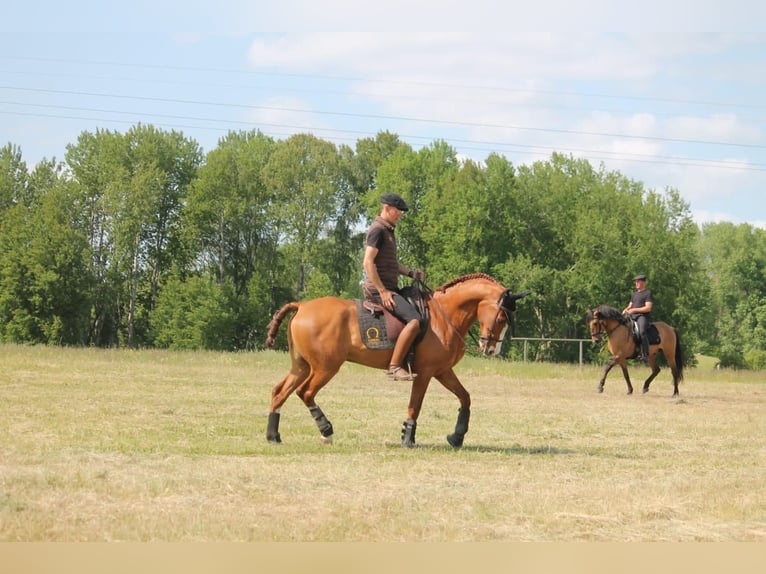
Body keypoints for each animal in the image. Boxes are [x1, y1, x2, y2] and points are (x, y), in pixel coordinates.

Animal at [262, 274, 528, 450]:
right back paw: (326, 431)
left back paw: (273, 435)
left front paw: (457, 436)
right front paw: (408, 438)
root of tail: (302, 306)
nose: (491, 349)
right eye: (501, 317)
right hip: (325, 367)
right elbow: (415, 406)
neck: (444, 316)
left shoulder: (443, 371)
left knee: (279, 392)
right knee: (305, 392)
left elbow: (465, 397)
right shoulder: (425, 373)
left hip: (302, 366)